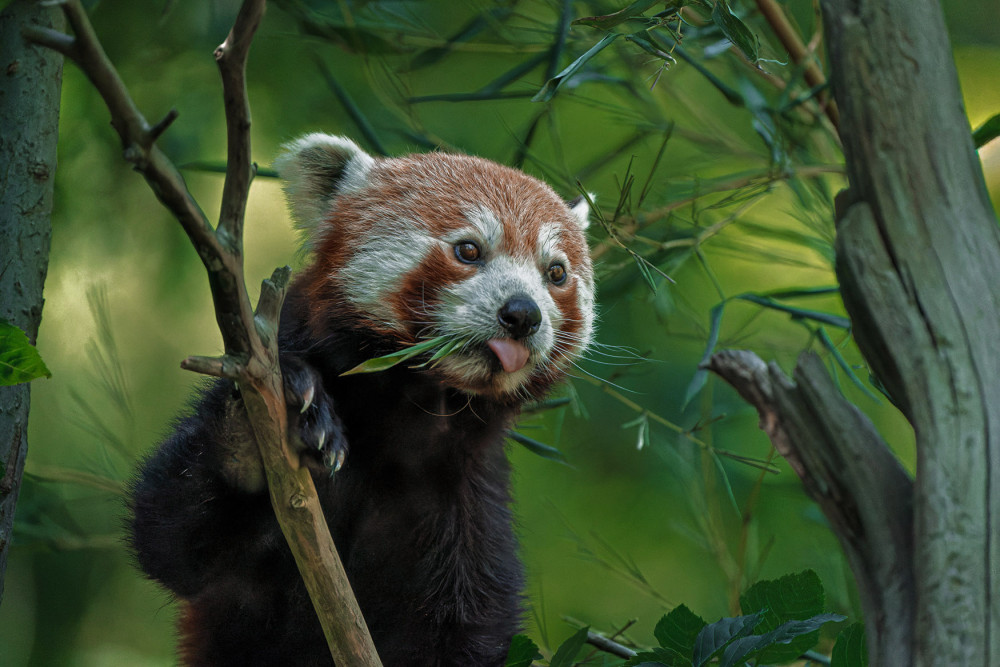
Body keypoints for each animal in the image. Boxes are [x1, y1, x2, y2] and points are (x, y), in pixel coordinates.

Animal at [128, 134, 595, 666]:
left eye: (555, 273)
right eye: (469, 250)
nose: (523, 314)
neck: (406, 419)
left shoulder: (468, 504)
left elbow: (470, 635)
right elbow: (171, 537)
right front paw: (254, 430)